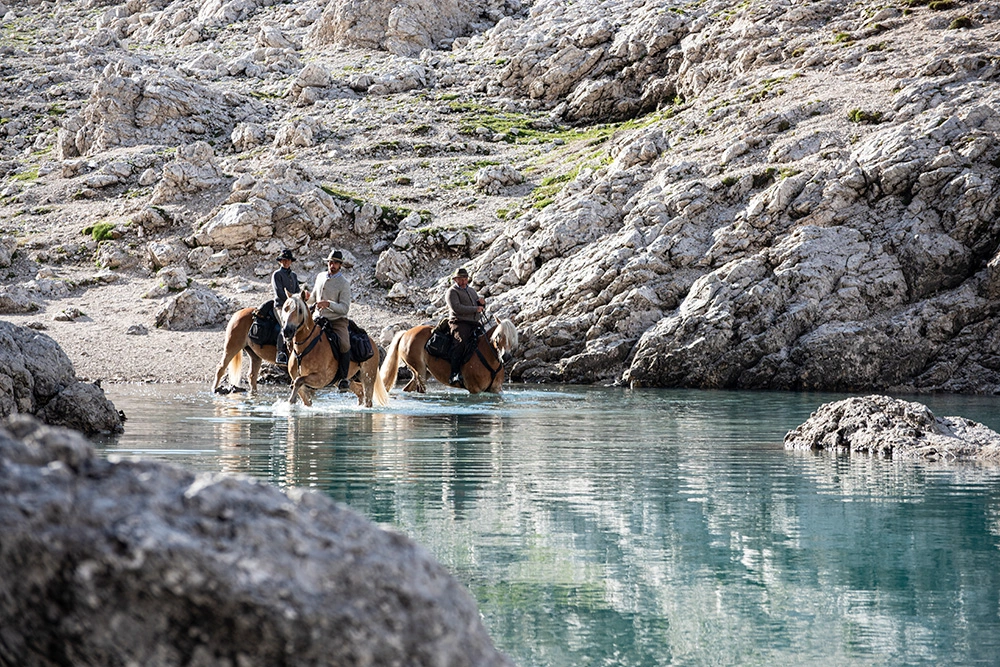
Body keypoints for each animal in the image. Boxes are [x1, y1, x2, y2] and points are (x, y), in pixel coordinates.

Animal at [378, 317, 518, 395]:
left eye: (513, 337)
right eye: (499, 335)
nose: (506, 357)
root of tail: (406, 333)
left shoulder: (496, 389)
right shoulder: (474, 389)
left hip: (425, 372)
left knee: (407, 388)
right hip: (419, 371)